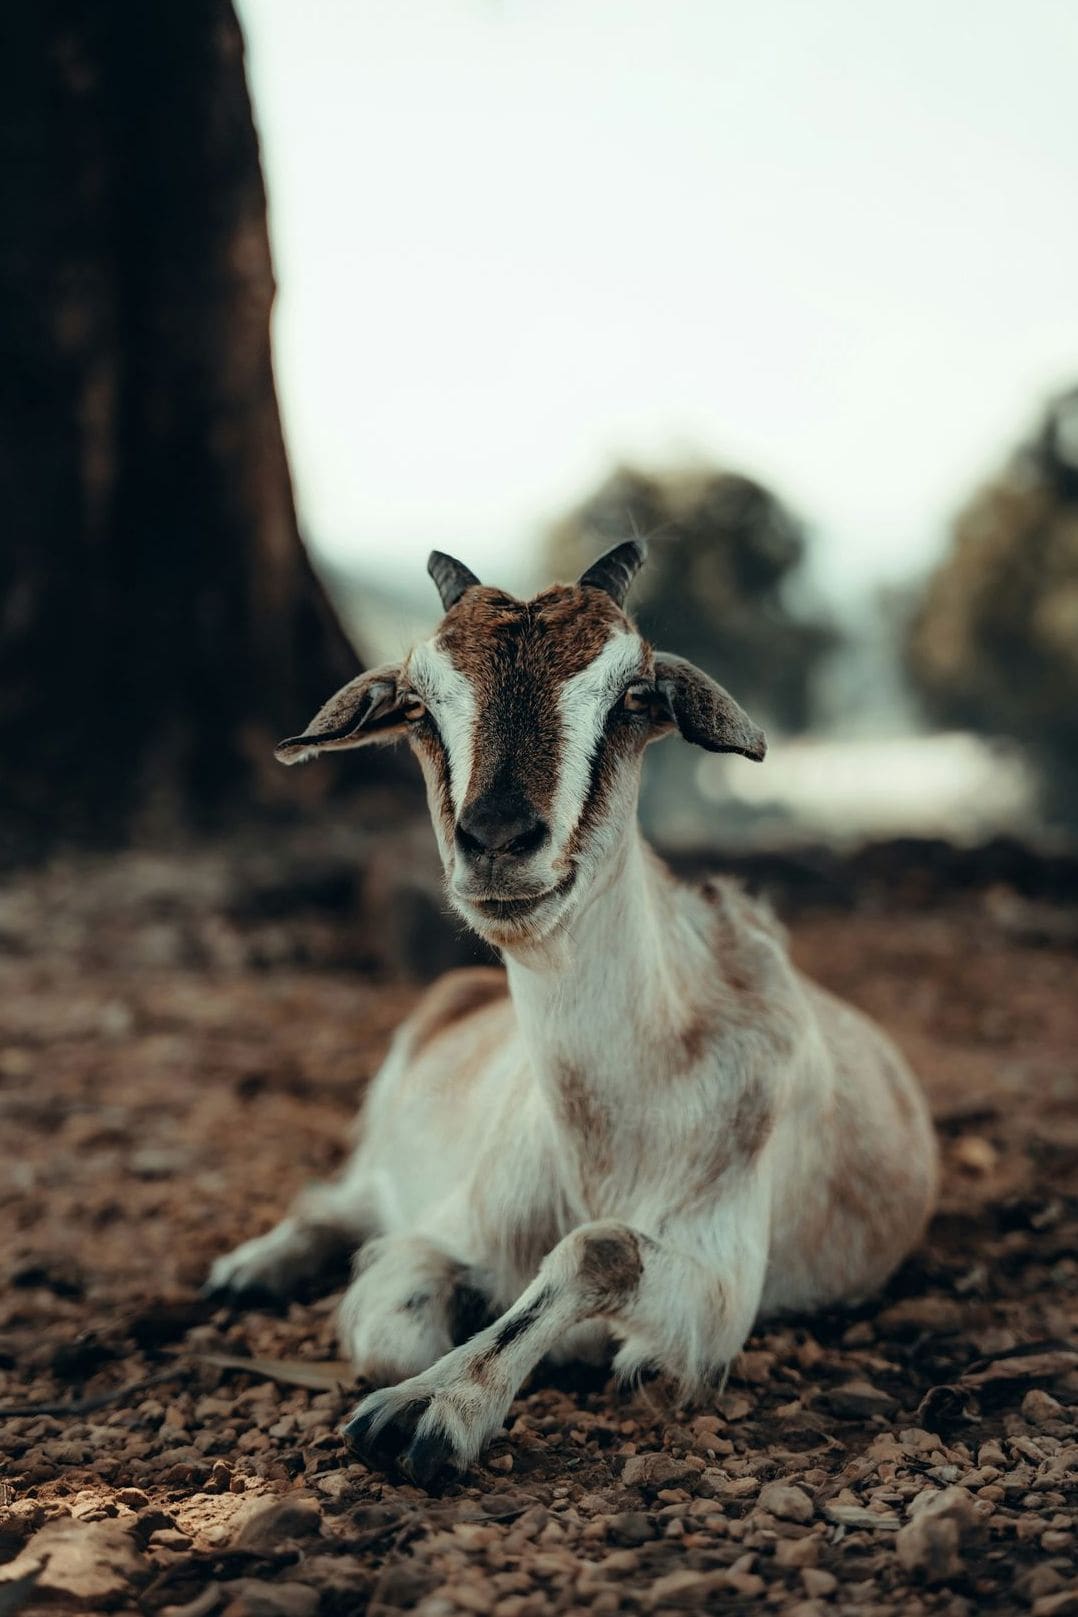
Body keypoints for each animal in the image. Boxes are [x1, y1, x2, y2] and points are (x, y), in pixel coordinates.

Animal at [206, 541, 938, 1485]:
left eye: (635, 695)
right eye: (418, 703)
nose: (498, 840)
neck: (609, 1128)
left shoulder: (723, 1287)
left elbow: (602, 1248)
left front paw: (432, 1408)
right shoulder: (438, 1229)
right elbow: (395, 1320)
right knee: (334, 1200)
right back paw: (247, 1268)